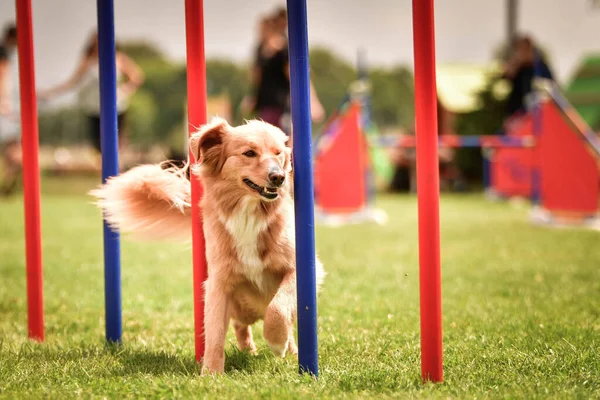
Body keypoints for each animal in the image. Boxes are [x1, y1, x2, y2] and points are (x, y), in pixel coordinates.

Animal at [90, 117, 324, 374]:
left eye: (278, 153)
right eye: (249, 153)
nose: (279, 177)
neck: (248, 213)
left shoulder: (303, 269)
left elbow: (279, 306)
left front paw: (277, 342)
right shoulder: (219, 282)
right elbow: (214, 332)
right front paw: (211, 374)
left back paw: (291, 350)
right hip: (240, 306)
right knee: (240, 325)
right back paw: (249, 350)